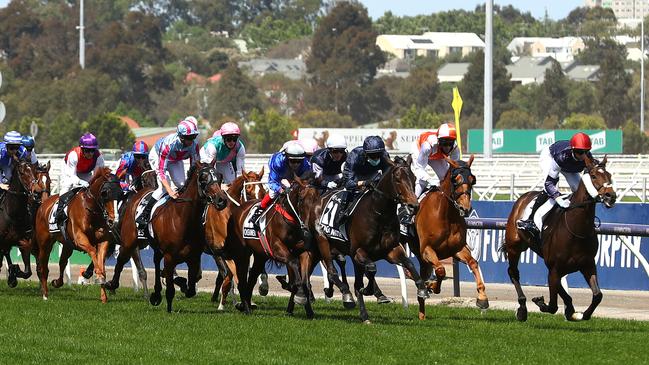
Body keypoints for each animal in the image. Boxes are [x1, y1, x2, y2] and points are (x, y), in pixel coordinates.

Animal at [34, 168, 123, 302]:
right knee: (43, 267)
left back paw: (57, 282)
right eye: (105, 194)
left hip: (67, 245)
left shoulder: (103, 241)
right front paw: (97, 277)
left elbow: (101, 263)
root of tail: (44, 204)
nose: (114, 220)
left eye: (121, 194)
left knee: (62, 262)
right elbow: (93, 252)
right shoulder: (80, 238)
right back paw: (45, 294)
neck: (91, 210)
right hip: (45, 243)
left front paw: (103, 296)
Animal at [312, 156, 428, 322]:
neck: (379, 214)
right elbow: (372, 269)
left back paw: (361, 311)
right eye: (397, 179)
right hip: (324, 242)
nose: (413, 206)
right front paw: (368, 290)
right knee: (332, 271)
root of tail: (320, 198)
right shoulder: (359, 251)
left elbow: (409, 263)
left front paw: (422, 289)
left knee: (348, 275)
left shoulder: (390, 250)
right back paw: (347, 297)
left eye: (413, 178)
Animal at [402, 155, 488, 320]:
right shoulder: (427, 250)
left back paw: (422, 313)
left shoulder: (457, 249)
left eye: (472, 179)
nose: (465, 209)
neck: (446, 214)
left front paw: (482, 298)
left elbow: (473, 263)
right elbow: (441, 270)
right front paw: (431, 285)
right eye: (455, 180)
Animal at [504, 155, 616, 320]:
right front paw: (541, 302)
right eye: (594, 176)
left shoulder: (587, 264)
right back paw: (522, 309)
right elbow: (553, 305)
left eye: (609, 175)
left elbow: (597, 295)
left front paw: (579, 314)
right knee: (513, 273)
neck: (576, 228)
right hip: (514, 247)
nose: (611, 196)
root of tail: (522, 198)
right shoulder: (554, 268)